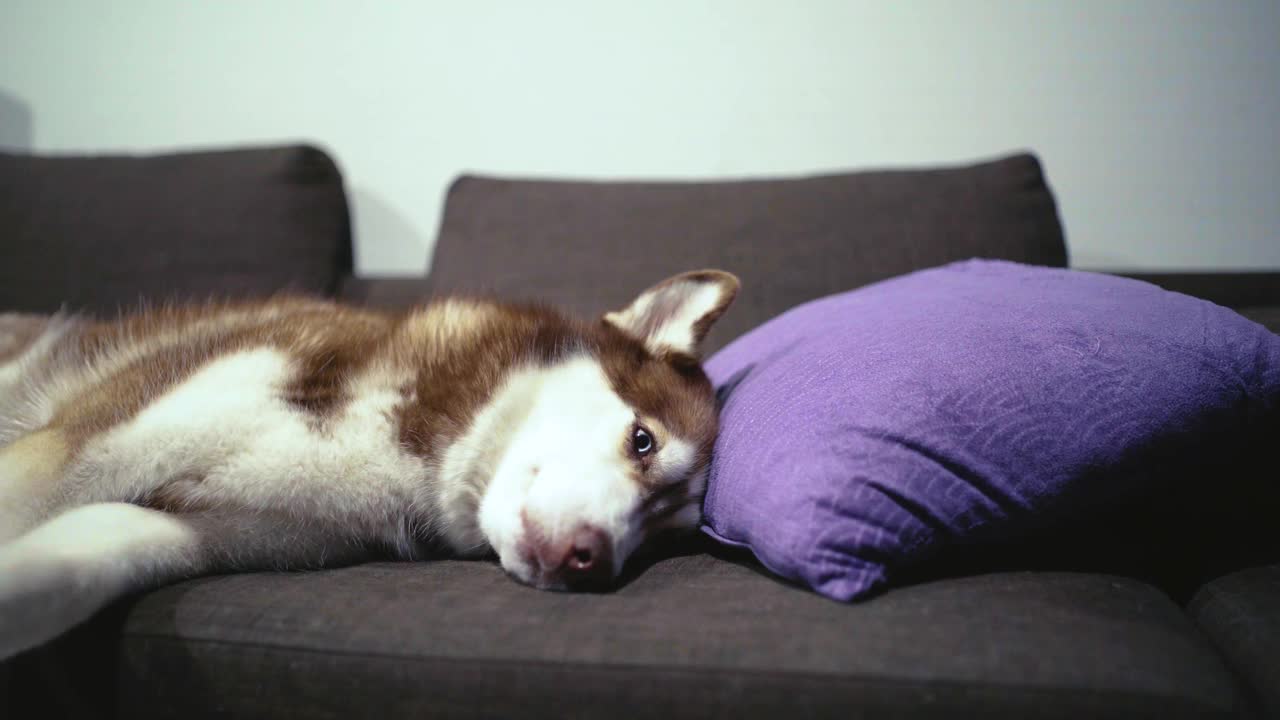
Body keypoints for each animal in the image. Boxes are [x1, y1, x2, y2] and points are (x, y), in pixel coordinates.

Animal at [0, 267, 742, 655]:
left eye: (660, 536)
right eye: (643, 441)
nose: (592, 562)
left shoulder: (201, 528)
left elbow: (63, 571)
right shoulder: (91, 439)